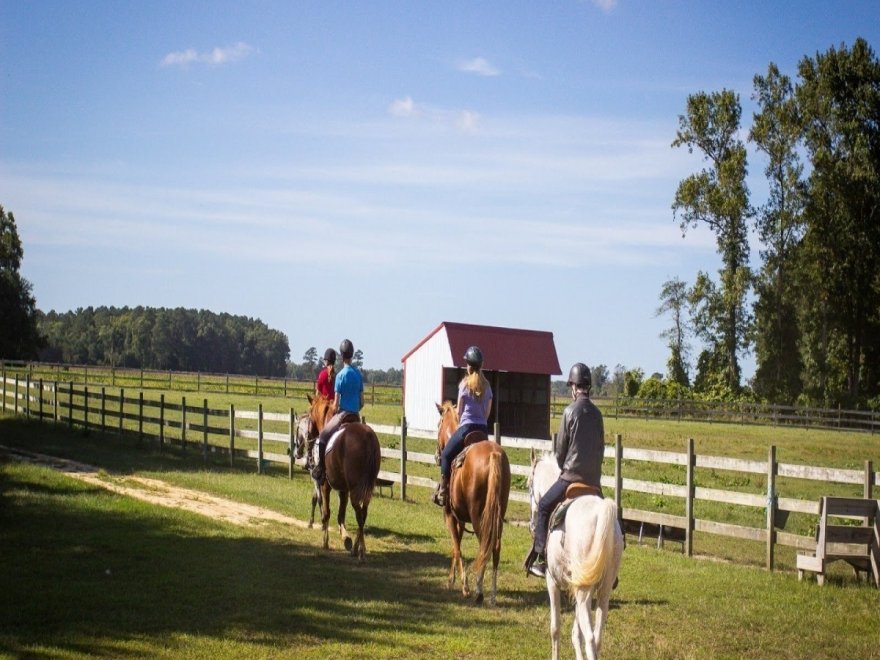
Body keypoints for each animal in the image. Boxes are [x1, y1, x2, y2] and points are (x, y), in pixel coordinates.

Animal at [308, 394, 380, 560]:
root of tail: (368, 436)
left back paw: (360, 552)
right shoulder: (344, 490)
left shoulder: (325, 486)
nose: (309, 436)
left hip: (354, 488)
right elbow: (341, 515)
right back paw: (357, 548)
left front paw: (326, 541)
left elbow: (327, 513)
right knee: (363, 513)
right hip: (367, 489)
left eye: (309, 414)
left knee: (359, 514)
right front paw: (346, 538)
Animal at [434, 400, 512, 604]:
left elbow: (456, 546)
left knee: (485, 545)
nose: (437, 456)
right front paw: (452, 580)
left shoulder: (450, 516)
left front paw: (463, 585)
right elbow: (456, 546)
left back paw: (478, 591)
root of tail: (494, 455)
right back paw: (492, 595)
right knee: (495, 547)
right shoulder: (460, 518)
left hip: (479, 516)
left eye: (438, 424)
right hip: (498, 515)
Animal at [524, 454, 624, 660]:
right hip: (602, 589)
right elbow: (575, 632)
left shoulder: (552, 581)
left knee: (591, 637)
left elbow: (555, 627)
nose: (531, 524)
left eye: (529, 484)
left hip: (584, 591)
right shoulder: (578, 584)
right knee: (597, 635)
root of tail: (601, 512)